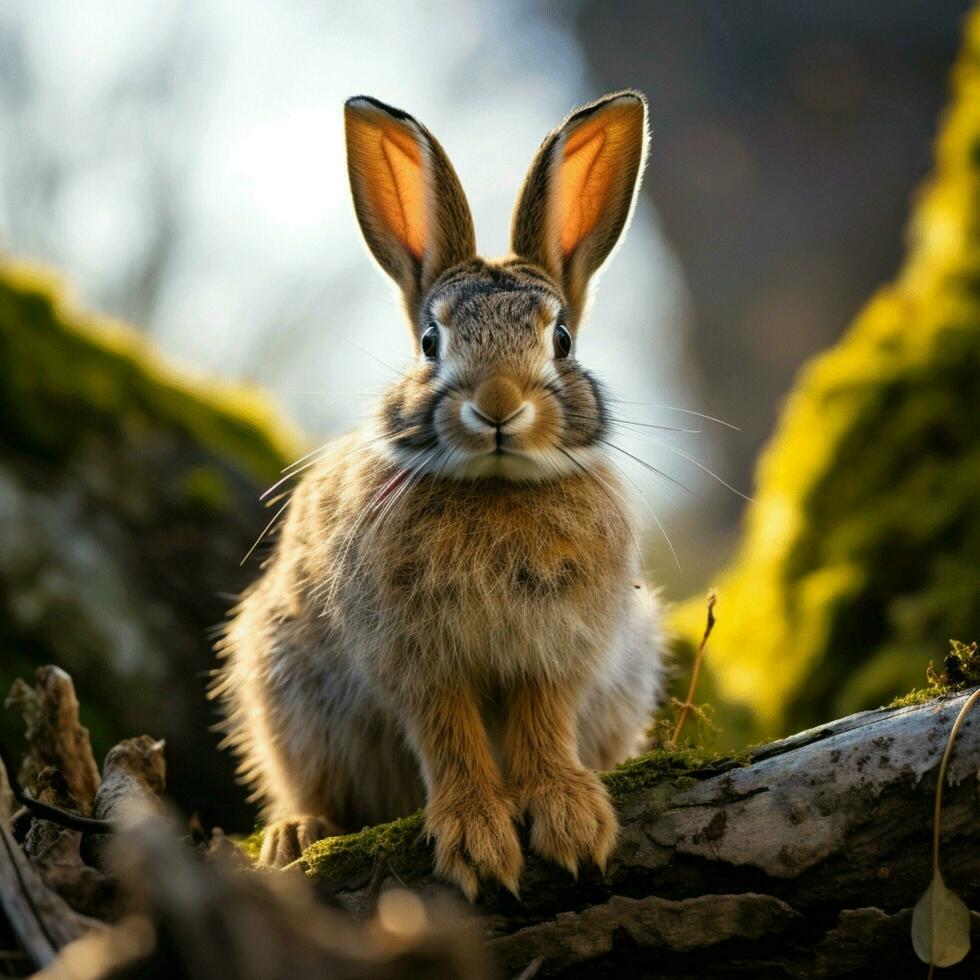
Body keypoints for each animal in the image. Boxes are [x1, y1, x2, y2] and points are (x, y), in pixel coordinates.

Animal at [212, 88, 668, 900]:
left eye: (562, 342)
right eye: (431, 343)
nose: (497, 406)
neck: (494, 488)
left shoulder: (556, 653)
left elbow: (544, 723)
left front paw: (572, 820)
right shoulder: (417, 661)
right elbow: (448, 733)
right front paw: (479, 840)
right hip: (280, 683)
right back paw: (297, 832)